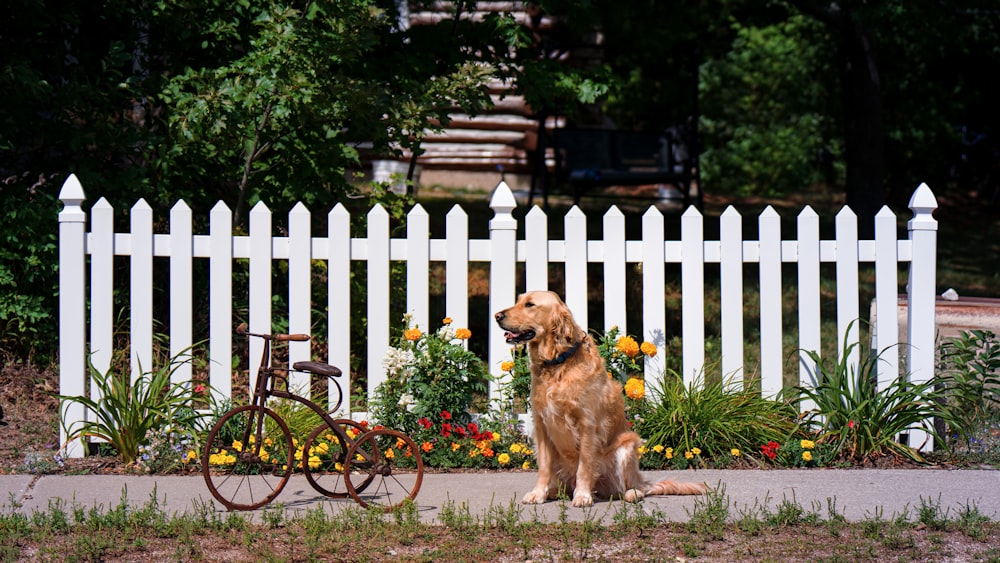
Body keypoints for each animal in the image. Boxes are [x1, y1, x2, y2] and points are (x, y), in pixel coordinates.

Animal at [496, 294, 708, 508]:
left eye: (530, 304)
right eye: (519, 300)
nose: (497, 315)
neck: (558, 363)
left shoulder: (587, 424)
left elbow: (585, 466)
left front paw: (582, 495)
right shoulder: (542, 425)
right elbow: (544, 467)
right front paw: (538, 493)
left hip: (626, 448)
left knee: (633, 488)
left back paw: (631, 493)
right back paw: (554, 492)